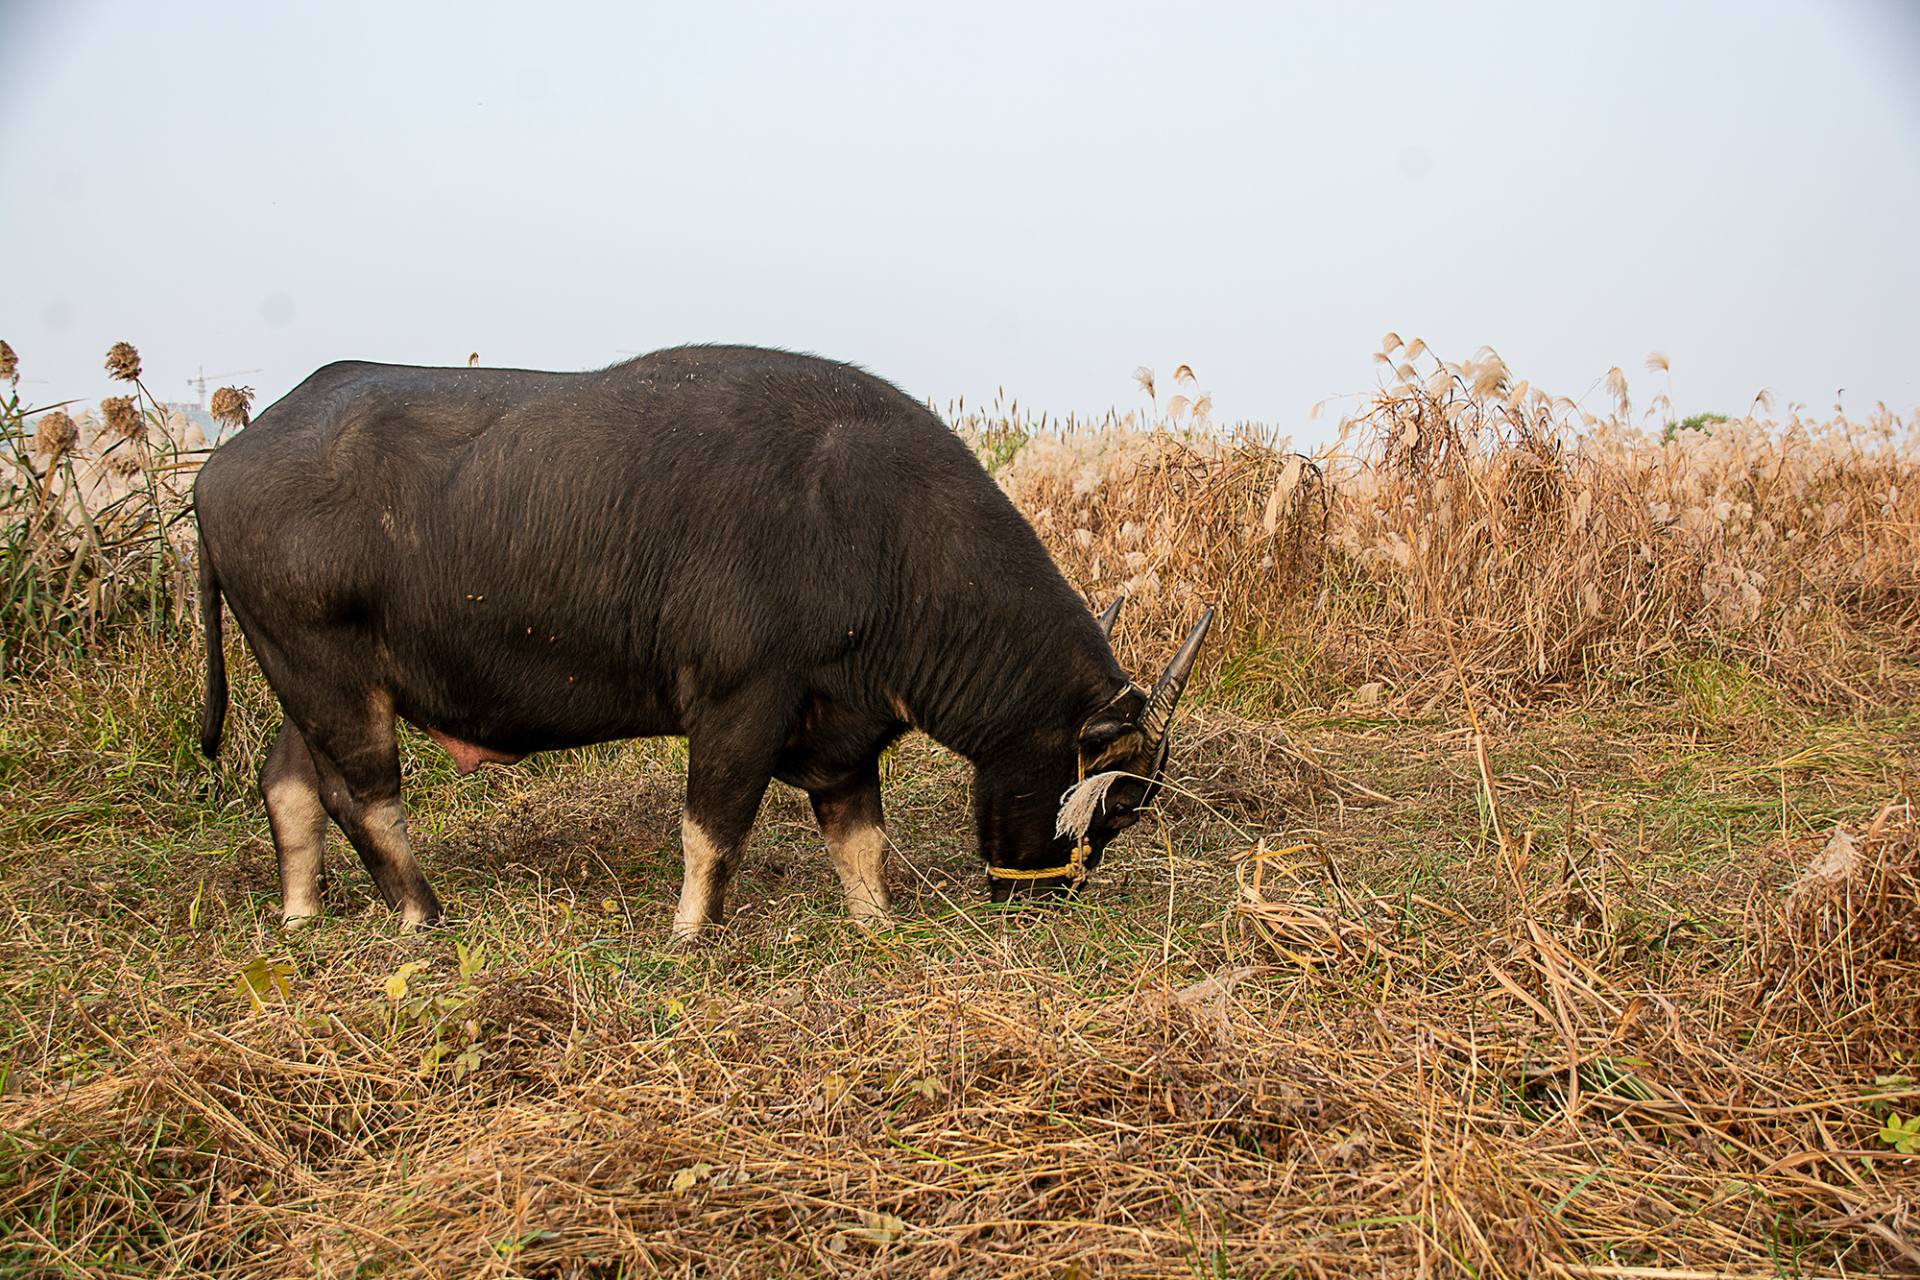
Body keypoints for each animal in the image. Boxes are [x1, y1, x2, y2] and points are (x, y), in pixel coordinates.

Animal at [198, 345, 1213, 936]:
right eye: (1122, 808)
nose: (1046, 896)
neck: (872, 528)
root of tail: (220, 465)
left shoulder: (842, 723)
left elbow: (860, 839)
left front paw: (876, 922)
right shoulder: (740, 701)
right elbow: (713, 828)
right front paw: (691, 935)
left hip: (308, 679)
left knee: (290, 780)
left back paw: (301, 915)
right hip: (329, 676)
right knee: (365, 797)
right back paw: (422, 916)